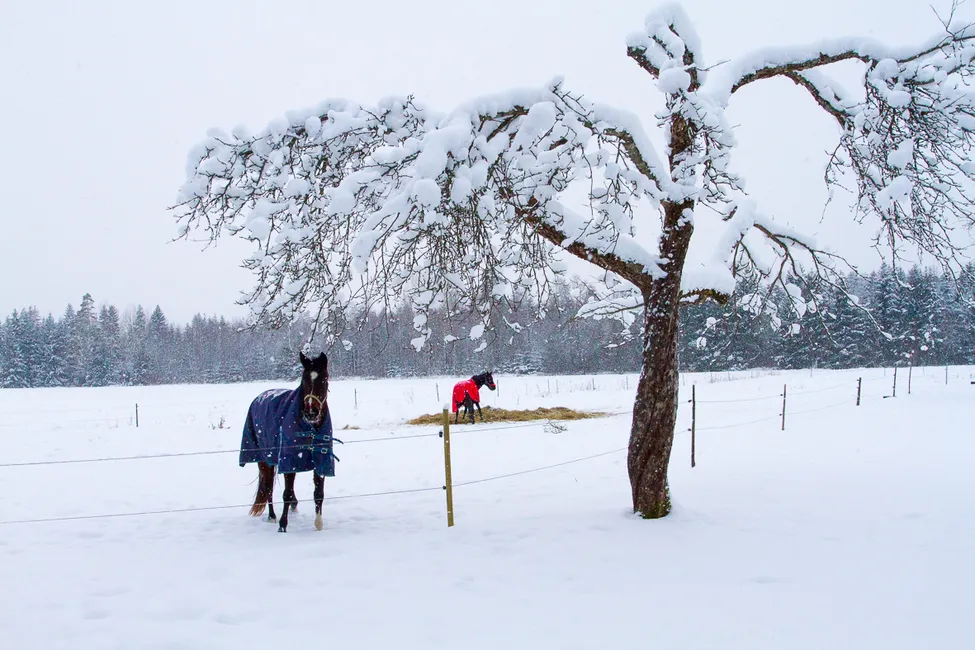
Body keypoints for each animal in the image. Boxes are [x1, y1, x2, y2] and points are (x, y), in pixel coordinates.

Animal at [239, 352, 338, 533]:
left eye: (324, 379)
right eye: (304, 380)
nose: (311, 412)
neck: (310, 427)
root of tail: (258, 398)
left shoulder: (320, 460)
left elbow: (318, 494)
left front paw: (318, 524)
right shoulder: (289, 459)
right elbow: (286, 493)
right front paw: (282, 526)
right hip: (264, 460)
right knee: (269, 487)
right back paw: (272, 516)